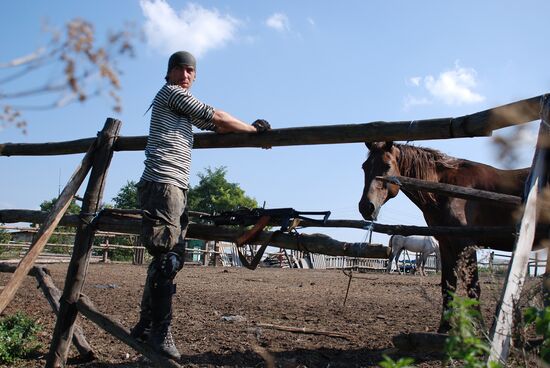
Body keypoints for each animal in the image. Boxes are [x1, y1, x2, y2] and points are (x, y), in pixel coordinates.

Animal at [358, 142, 536, 334]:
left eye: (387, 166)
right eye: (364, 167)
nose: (366, 207)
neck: (450, 189)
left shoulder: (465, 243)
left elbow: (473, 287)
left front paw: (480, 330)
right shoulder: (446, 243)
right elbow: (447, 285)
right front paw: (444, 327)